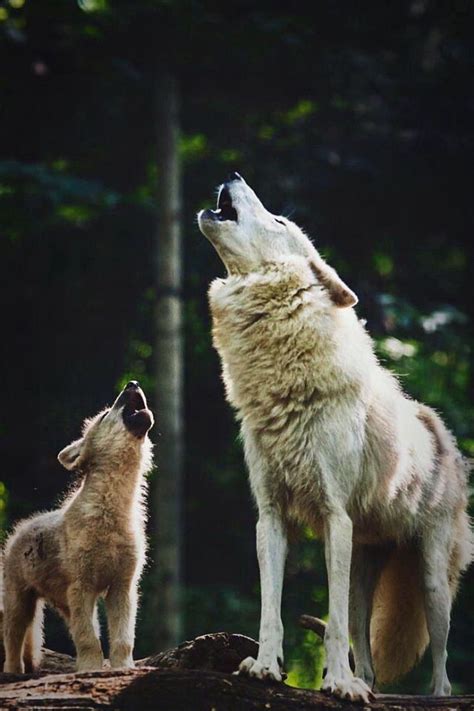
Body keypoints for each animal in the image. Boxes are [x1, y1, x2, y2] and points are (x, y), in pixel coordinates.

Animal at [1, 384, 154, 672]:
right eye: (105, 414)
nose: (133, 383)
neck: (112, 511)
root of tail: (21, 527)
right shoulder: (81, 587)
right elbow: (88, 639)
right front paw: (90, 669)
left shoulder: (122, 587)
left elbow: (122, 639)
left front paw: (122, 668)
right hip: (20, 605)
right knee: (12, 645)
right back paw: (14, 673)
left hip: (64, 604)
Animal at [198, 172, 472, 700]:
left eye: (280, 220)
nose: (235, 175)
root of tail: (438, 428)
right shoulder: (270, 517)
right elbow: (271, 610)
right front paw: (265, 667)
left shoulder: (333, 517)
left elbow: (335, 620)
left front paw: (337, 684)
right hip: (365, 563)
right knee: (365, 640)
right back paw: (365, 682)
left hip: (430, 579)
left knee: (442, 653)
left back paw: (428, 694)